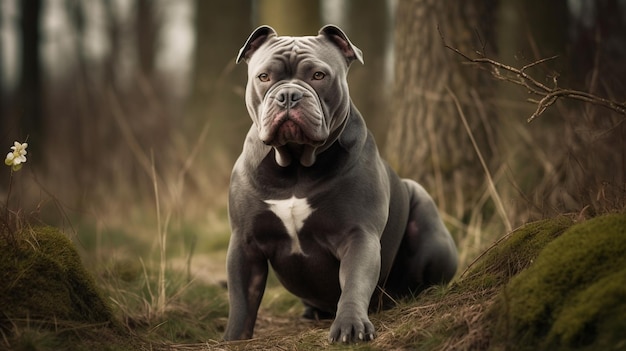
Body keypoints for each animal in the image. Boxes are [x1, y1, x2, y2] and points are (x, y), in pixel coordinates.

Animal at [222, 24, 456, 344]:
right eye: (264, 77)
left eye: (319, 76)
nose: (288, 95)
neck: (296, 166)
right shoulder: (245, 244)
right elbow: (241, 301)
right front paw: (232, 338)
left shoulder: (358, 235)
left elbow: (355, 282)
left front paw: (351, 325)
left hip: (427, 220)